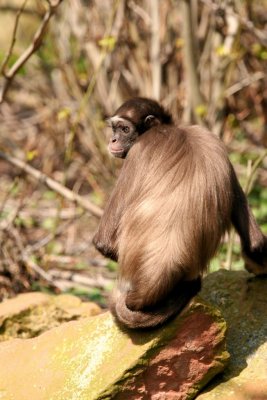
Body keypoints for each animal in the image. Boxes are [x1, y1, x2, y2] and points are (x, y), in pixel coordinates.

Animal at [92, 97, 267, 328]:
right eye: (114, 129)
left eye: (124, 129)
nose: (113, 140)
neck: (172, 130)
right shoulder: (210, 138)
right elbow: (255, 243)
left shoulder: (140, 150)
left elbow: (104, 242)